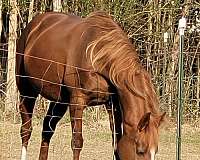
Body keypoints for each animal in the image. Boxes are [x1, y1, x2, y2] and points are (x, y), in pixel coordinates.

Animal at [16, 10, 166, 159]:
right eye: (140, 150)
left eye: (156, 150)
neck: (98, 56)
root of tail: (33, 25)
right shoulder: (77, 101)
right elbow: (77, 142)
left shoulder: (113, 105)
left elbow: (116, 143)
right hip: (26, 91)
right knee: (26, 130)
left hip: (59, 100)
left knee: (47, 129)